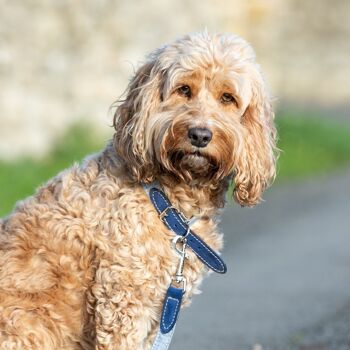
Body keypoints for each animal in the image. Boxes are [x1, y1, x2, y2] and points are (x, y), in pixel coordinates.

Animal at [0, 31, 278, 348]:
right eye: (184, 89)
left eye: (227, 97)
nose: (199, 135)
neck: (166, 201)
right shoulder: (123, 300)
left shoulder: (158, 311)